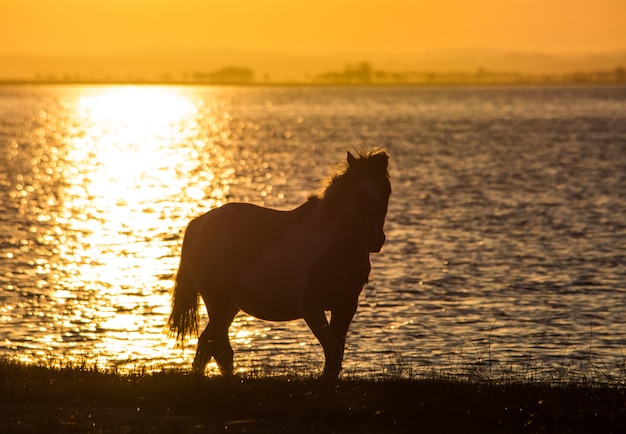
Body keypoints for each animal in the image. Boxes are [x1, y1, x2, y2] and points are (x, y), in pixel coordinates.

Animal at [168, 148, 388, 376]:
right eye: (358, 194)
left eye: (386, 192)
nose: (375, 240)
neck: (336, 248)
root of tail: (199, 223)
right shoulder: (311, 309)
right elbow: (333, 352)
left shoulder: (345, 306)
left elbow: (336, 356)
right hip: (216, 300)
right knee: (220, 347)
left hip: (230, 304)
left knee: (206, 344)